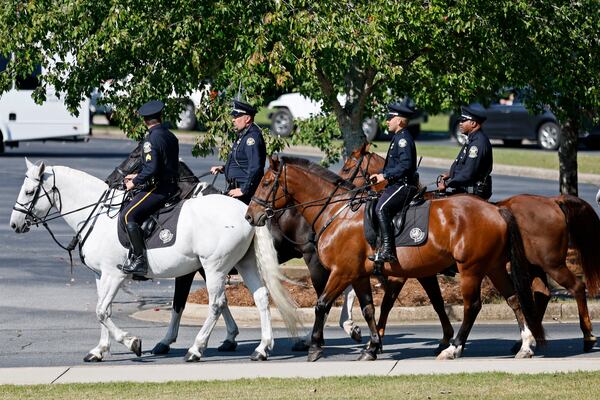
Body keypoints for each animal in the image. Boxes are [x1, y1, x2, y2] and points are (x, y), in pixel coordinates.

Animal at [9, 159, 300, 362]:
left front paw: (132, 342)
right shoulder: (101, 275)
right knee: (261, 297)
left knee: (217, 303)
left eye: (30, 191)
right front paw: (100, 350)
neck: (98, 216)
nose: (14, 224)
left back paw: (196, 349)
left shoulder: (115, 274)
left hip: (215, 267)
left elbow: (102, 311)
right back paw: (262, 348)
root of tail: (244, 210)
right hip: (244, 263)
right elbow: (102, 310)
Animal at [246, 155, 548, 360]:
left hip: (471, 269)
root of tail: (496, 210)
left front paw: (316, 347)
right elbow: (369, 308)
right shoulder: (359, 274)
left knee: (472, 306)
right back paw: (525, 345)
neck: (339, 212)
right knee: (514, 299)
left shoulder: (343, 272)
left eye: (267, 182)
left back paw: (454, 348)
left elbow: (322, 304)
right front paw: (371, 346)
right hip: (493, 266)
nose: (250, 215)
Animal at [340, 142, 600, 352]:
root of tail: (553, 201)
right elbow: (435, 302)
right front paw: (444, 338)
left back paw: (587, 336)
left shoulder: (403, 272)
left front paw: (375, 339)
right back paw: (527, 339)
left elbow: (387, 303)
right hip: (531, 265)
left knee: (576, 287)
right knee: (540, 294)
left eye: (347, 167)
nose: (346, 192)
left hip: (551, 263)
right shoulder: (423, 272)